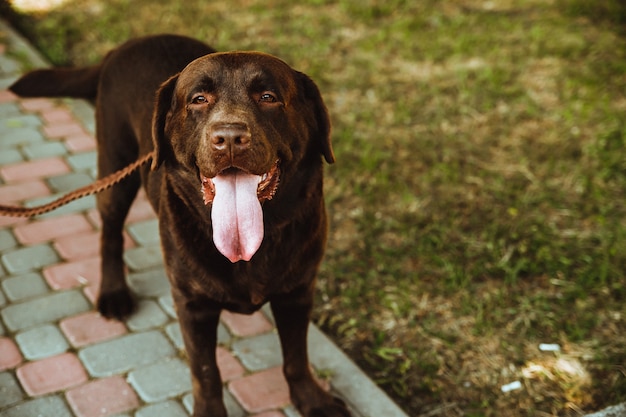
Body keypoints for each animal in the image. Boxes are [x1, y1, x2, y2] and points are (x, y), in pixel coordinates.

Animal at [9, 33, 348, 416]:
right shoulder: (192, 304)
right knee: (110, 233)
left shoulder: (298, 290)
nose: (229, 137)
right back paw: (113, 291)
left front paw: (312, 400)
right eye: (198, 99)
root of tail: (124, 46)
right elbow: (206, 371)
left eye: (268, 97)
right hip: (115, 167)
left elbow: (296, 356)